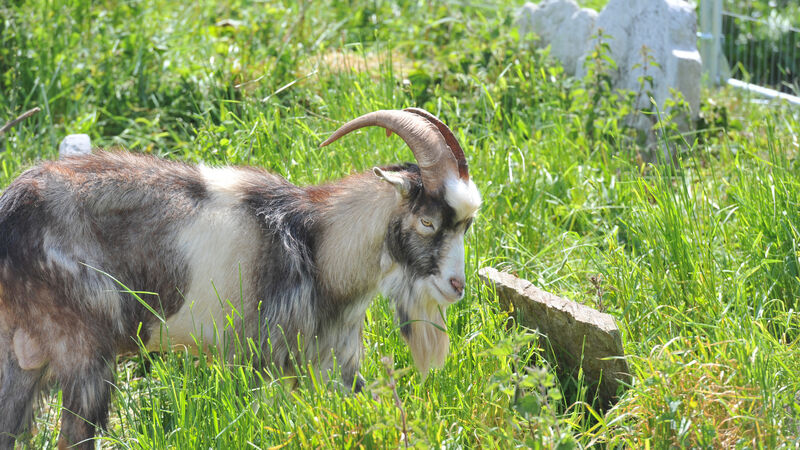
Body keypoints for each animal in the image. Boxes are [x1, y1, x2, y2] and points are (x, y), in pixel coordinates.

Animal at [0, 108, 481, 448]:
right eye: (427, 222)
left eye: (466, 225)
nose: (456, 287)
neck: (317, 245)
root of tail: (11, 209)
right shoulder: (264, 359)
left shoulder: (330, 366)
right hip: (84, 351)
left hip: (18, 354)